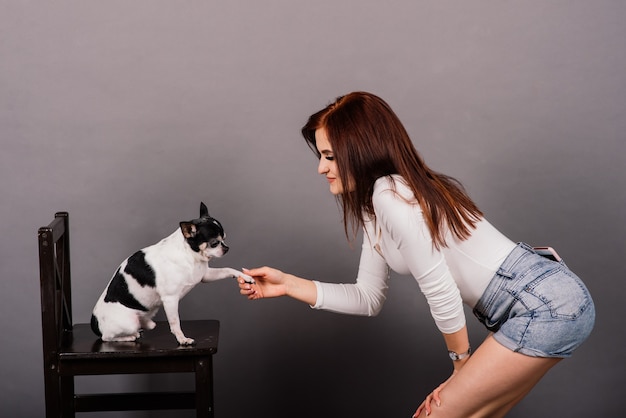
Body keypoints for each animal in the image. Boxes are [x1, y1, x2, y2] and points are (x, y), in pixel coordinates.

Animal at [91, 201, 251, 344]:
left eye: (224, 238)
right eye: (214, 243)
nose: (226, 248)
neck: (189, 255)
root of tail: (95, 322)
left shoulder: (205, 275)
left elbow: (228, 269)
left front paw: (246, 276)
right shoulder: (170, 299)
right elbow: (175, 323)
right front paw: (182, 339)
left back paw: (145, 325)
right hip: (128, 322)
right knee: (107, 337)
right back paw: (129, 336)